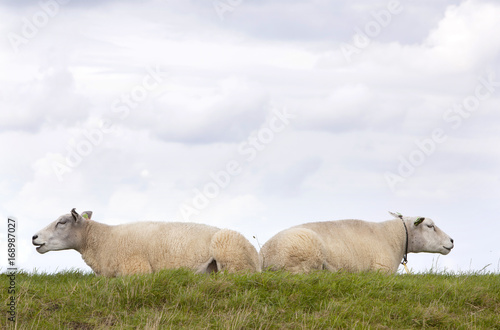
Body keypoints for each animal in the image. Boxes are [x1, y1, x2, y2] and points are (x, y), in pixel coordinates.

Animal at [31, 209, 260, 276]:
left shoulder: (136, 270)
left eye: (62, 222)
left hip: (228, 251)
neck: (103, 240)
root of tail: (256, 255)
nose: (34, 237)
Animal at [260, 211, 456, 274]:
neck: (395, 237)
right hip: (305, 257)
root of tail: (263, 257)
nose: (452, 240)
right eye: (430, 226)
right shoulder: (381, 270)